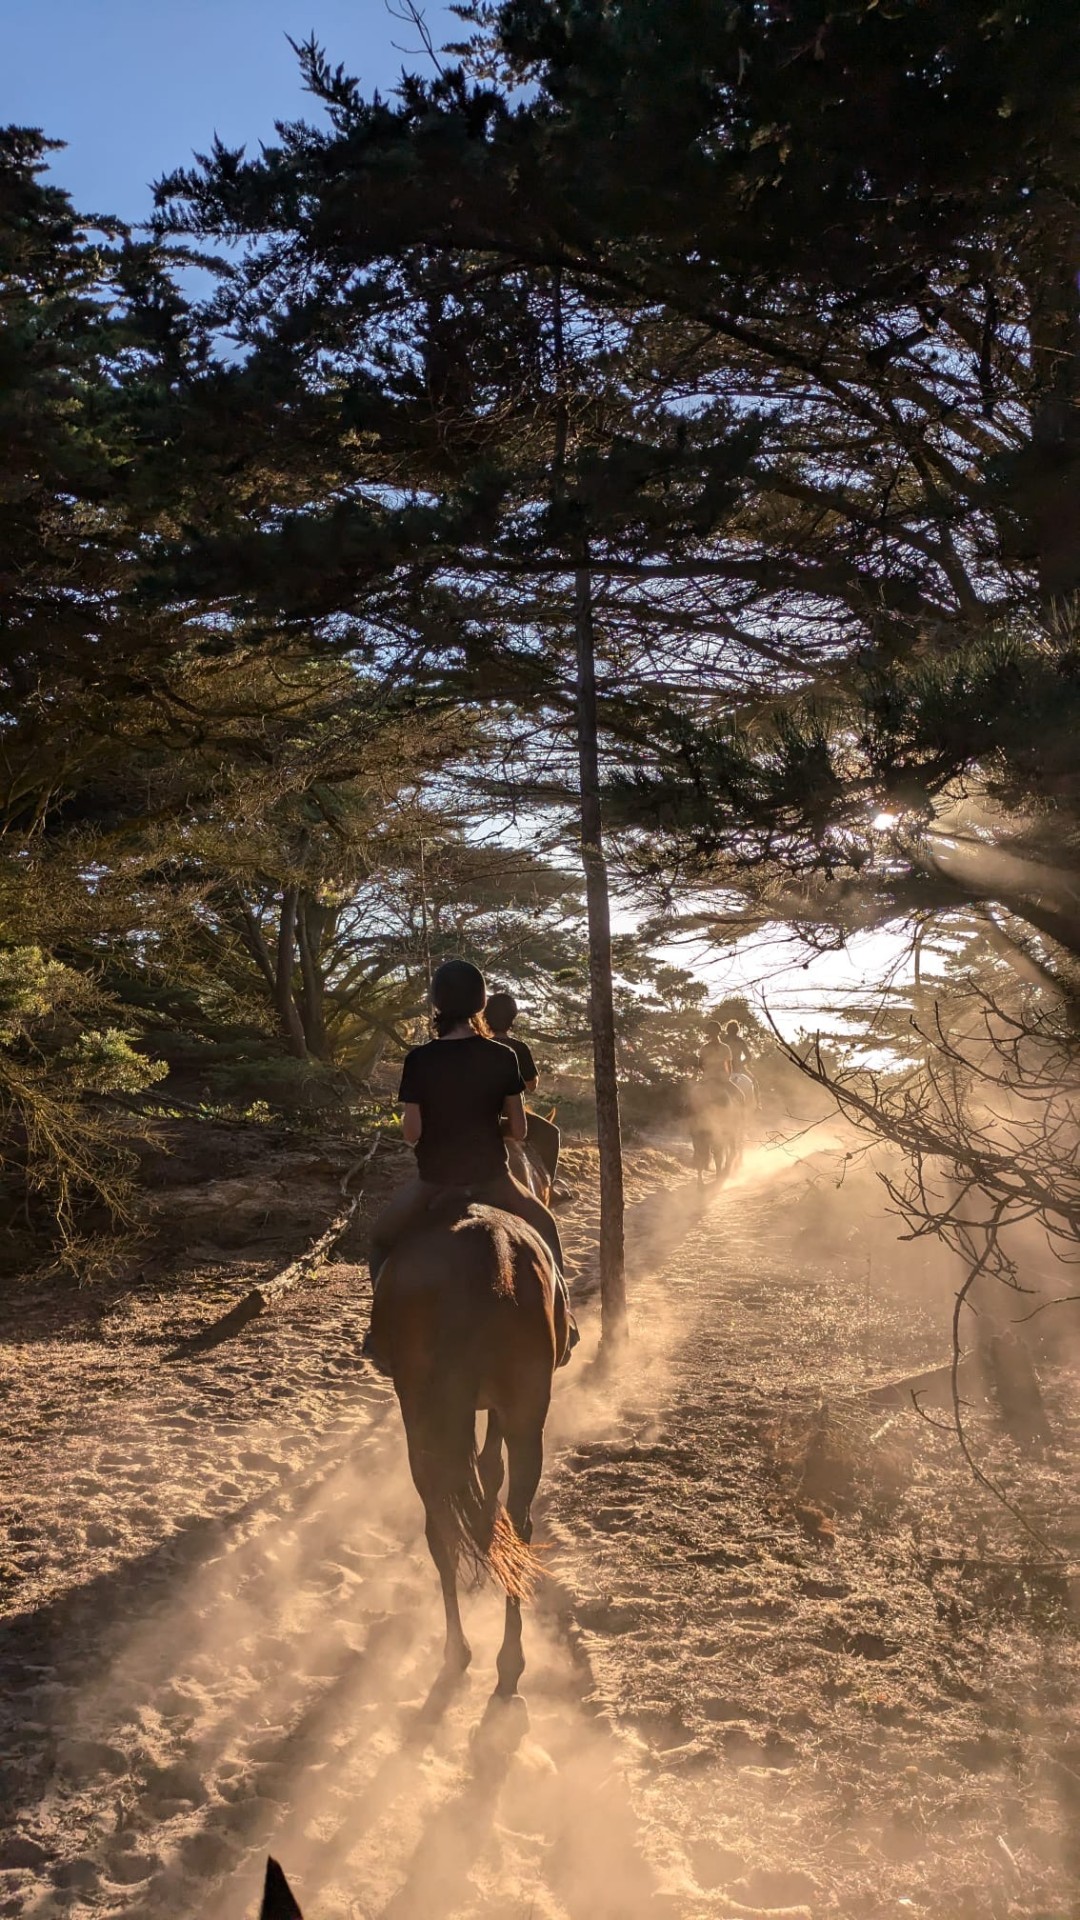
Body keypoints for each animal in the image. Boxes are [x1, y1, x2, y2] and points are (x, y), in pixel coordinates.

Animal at [365, 1190, 568, 1704]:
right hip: (524, 1416)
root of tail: (486, 1249)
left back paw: (460, 1651)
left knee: (442, 1530)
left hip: (423, 1421)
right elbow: (490, 1469)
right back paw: (509, 1661)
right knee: (517, 1523)